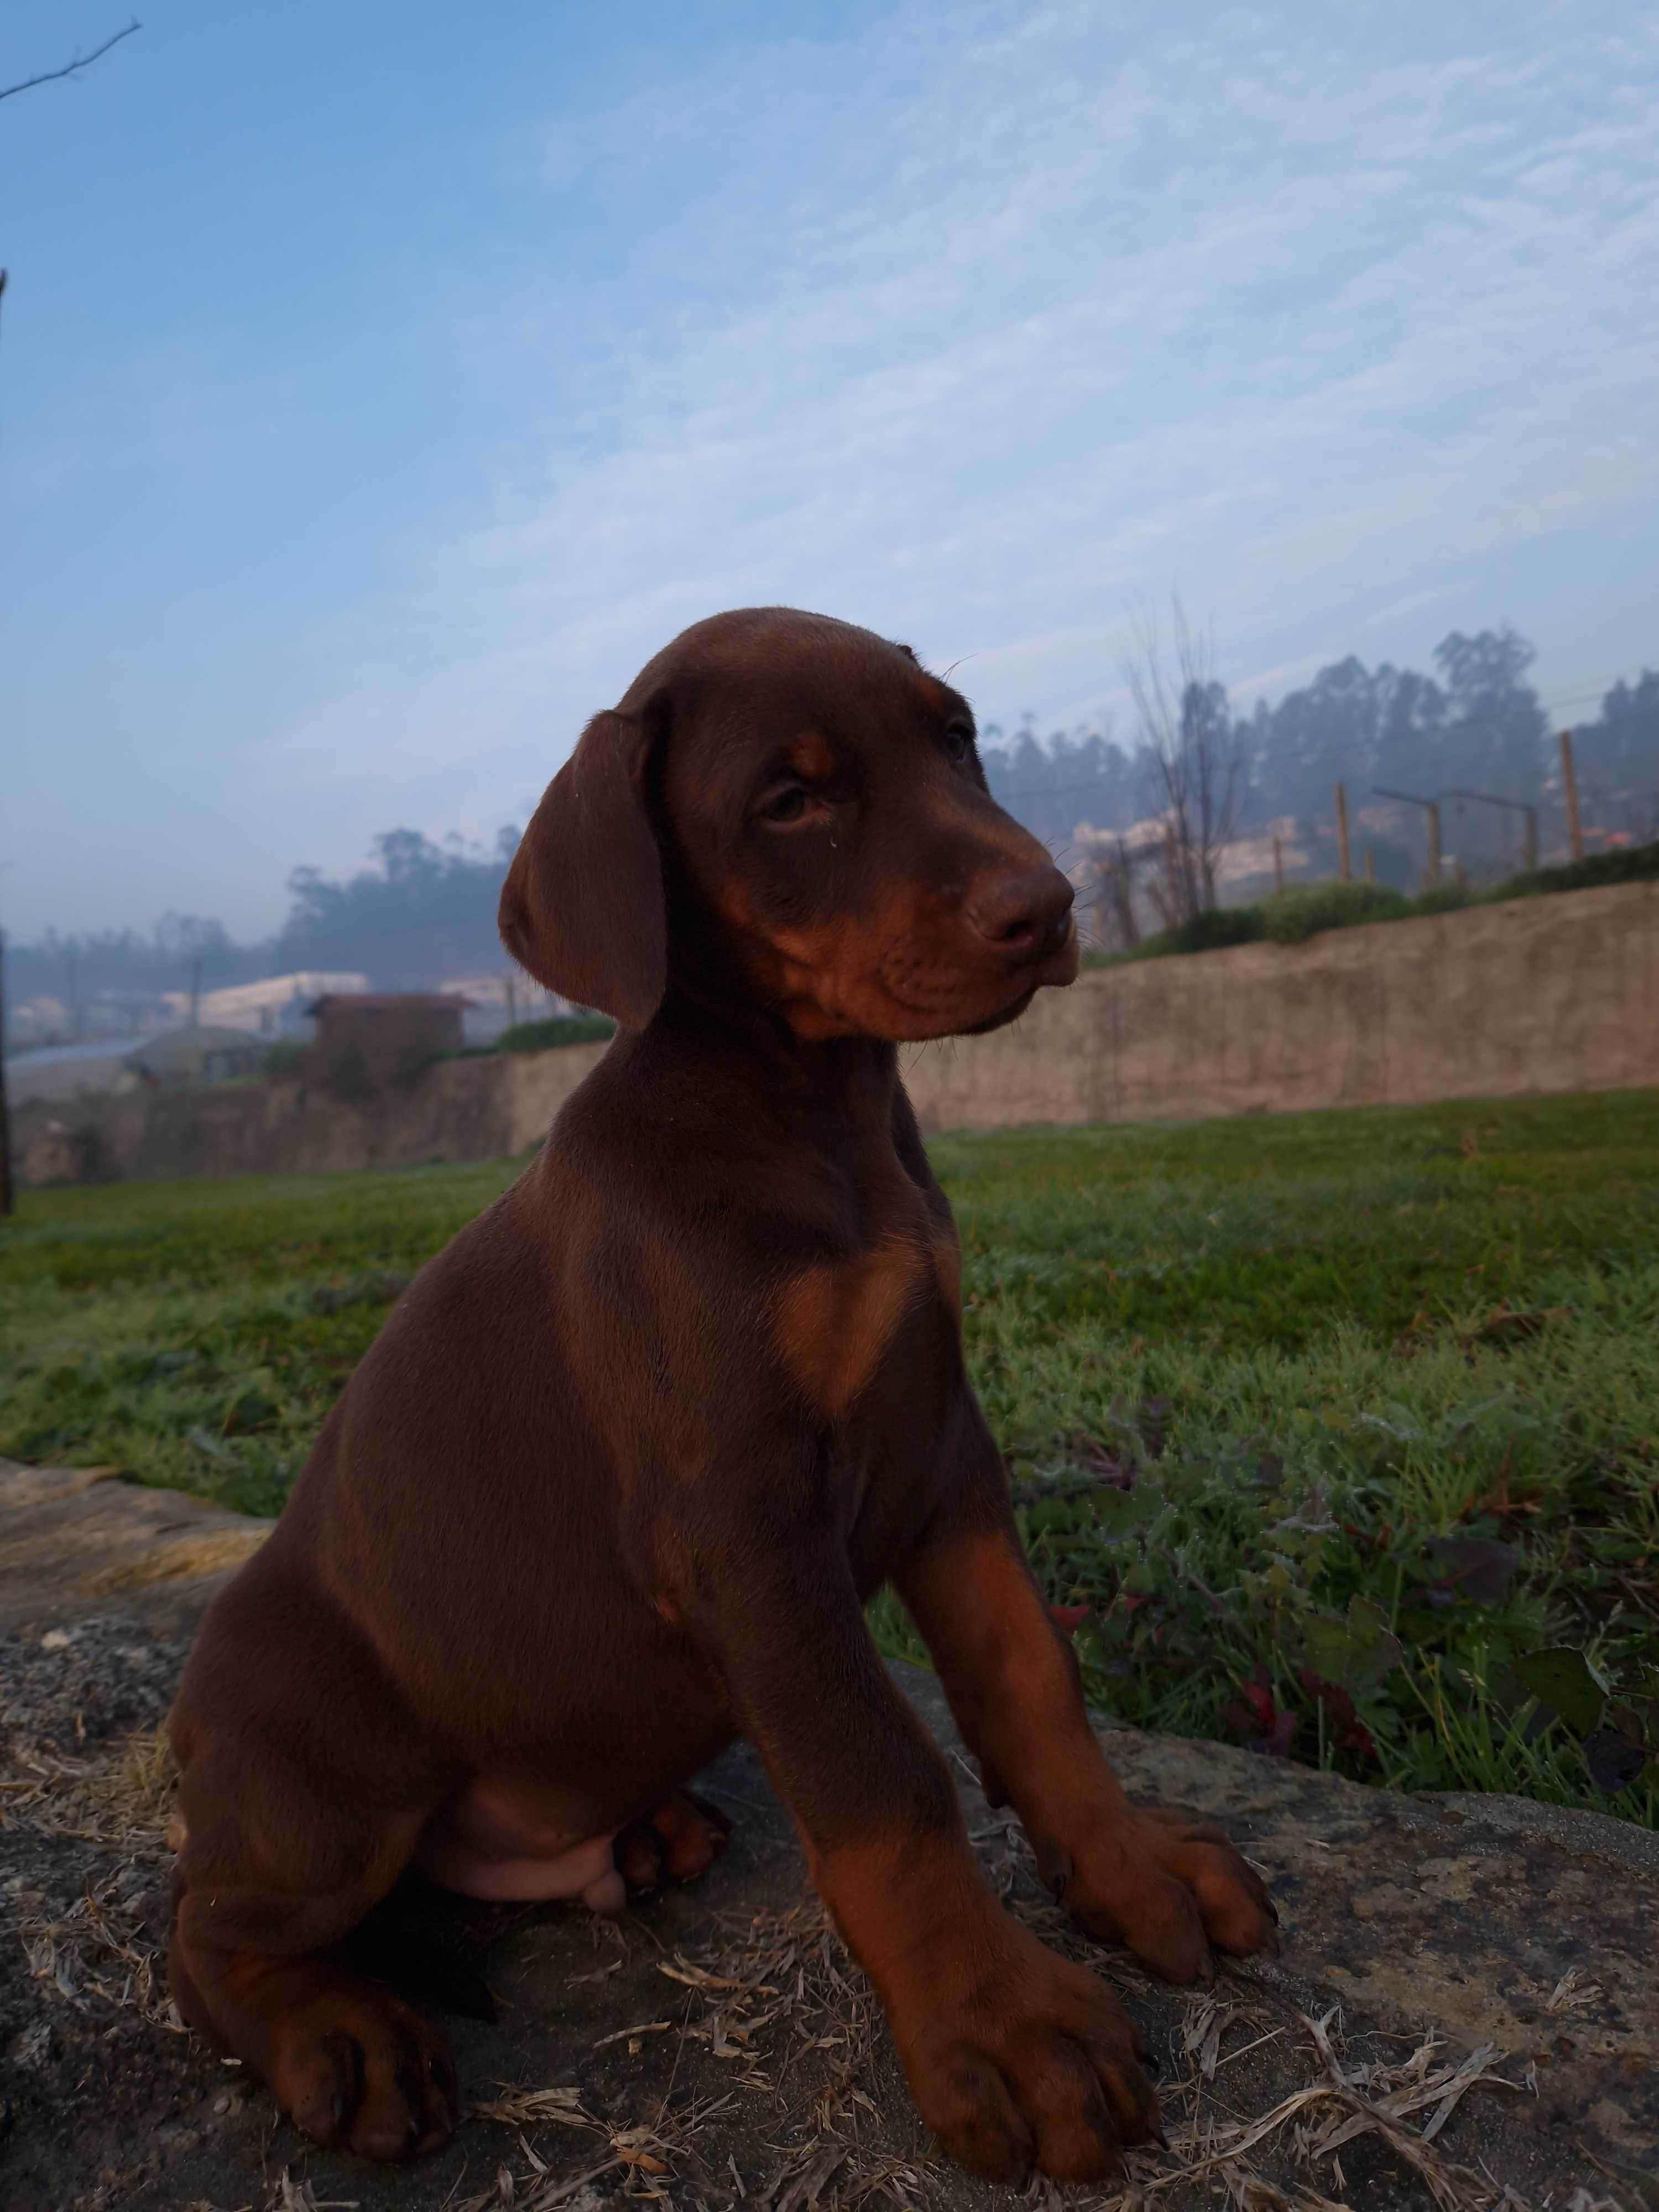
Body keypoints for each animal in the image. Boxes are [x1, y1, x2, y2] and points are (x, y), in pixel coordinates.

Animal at [169, 602, 1283, 2177]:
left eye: (958, 739)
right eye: (790, 800)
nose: (1047, 901)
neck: (811, 1115)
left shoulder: (944, 1448)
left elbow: (1031, 1683)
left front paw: (1132, 1870)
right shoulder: (740, 1527)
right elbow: (881, 1778)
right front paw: (1005, 2023)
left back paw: (644, 1836)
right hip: (322, 1779)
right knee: (210, 1931)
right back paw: (337, 2030)